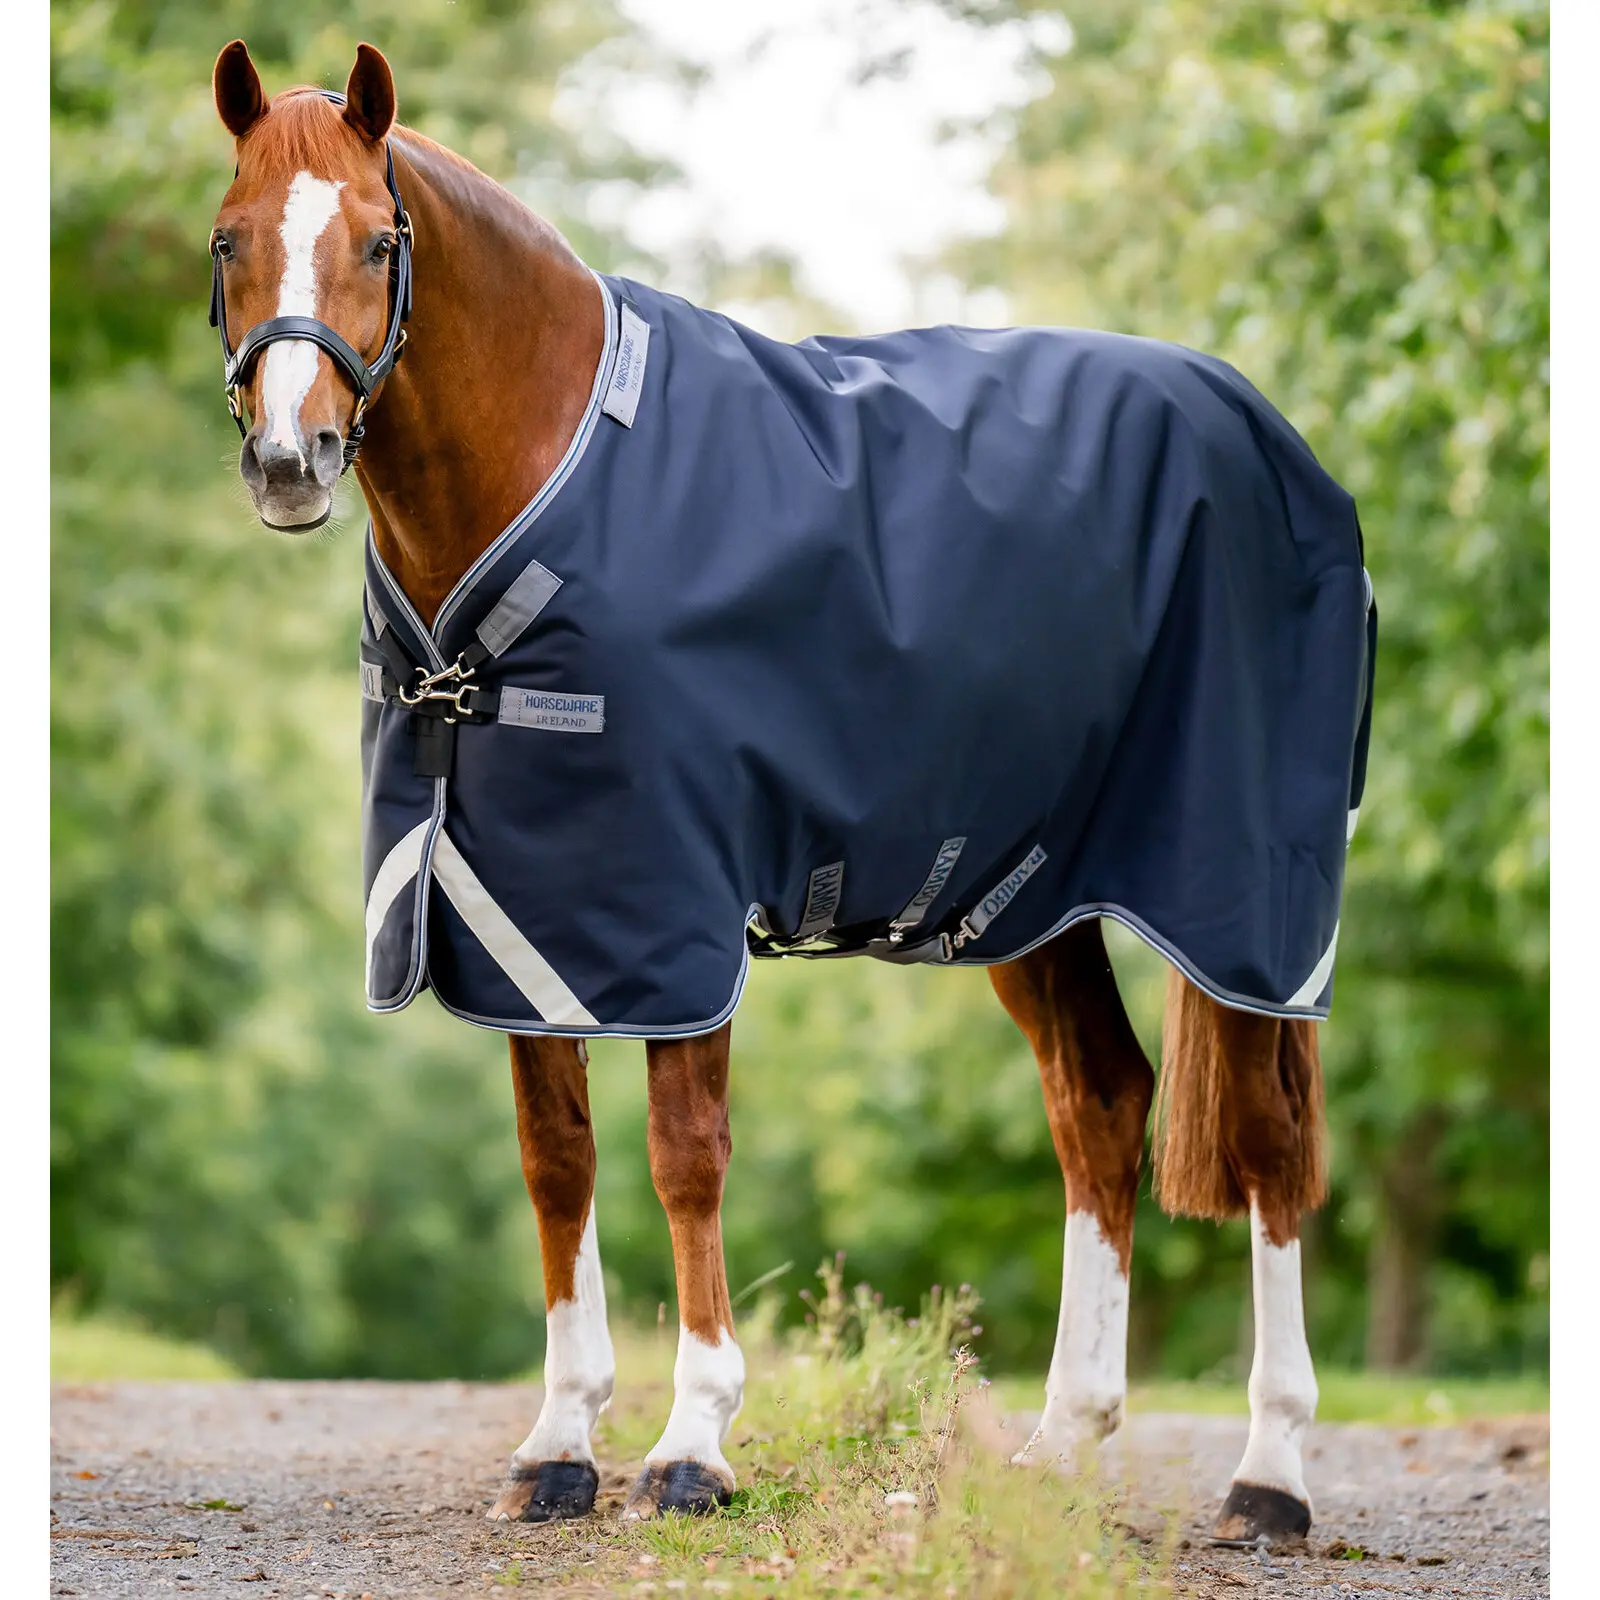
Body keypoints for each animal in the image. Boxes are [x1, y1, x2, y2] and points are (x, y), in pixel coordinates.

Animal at [207, 40, 1366, 1544]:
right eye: (228, 239)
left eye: (376, 240)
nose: (290, 461)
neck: (551, 469)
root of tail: (1266, 433)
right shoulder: (522, 909)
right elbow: (556, 1159)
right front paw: (559, 1443)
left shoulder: (673, 903)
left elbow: (683, 1152)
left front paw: (693, 1443)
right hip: (1033, 896)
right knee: (1100, 1106)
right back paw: (1062, 1444)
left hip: (1245, 902)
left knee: (1273, 1145)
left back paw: (1268, 1476)